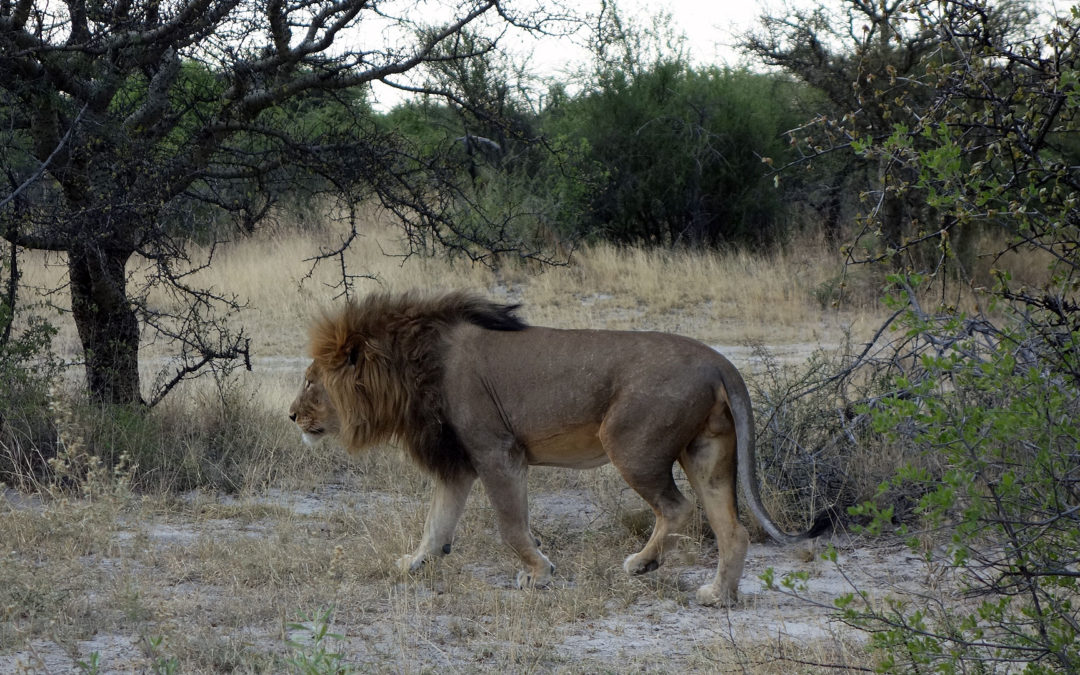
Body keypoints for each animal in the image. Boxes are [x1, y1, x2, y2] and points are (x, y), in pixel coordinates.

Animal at [287, 289, 825, 604]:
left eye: (311, 381)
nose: (291, 415)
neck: (409, 367)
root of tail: (719, 360)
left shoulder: (497, 452)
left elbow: (510, 526)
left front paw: (538, 573)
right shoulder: (458, 463)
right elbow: (436, 523)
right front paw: (414, 563)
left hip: (630, 444)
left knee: (677, 508)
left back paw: (642, 564)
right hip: (706, 452)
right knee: (732, 530)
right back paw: (717, 594)